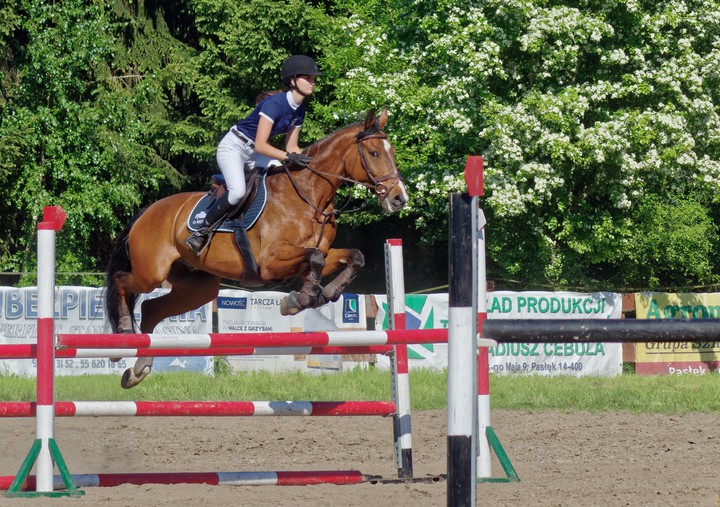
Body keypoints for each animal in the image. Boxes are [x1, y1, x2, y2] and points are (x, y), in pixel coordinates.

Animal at [107, 109, 410, 388]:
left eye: (392, 152)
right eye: (373, 153)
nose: (399, 198)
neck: (310, 197)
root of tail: (146, 212)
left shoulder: (312, 260)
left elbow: (352, 257)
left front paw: (325, 293)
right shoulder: (270, 262)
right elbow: (315, 259)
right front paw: (298, 300)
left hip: (197, 288)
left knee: (150, 310)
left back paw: (138, 370)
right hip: (151, 273)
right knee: (121, 282)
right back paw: (123, 333)